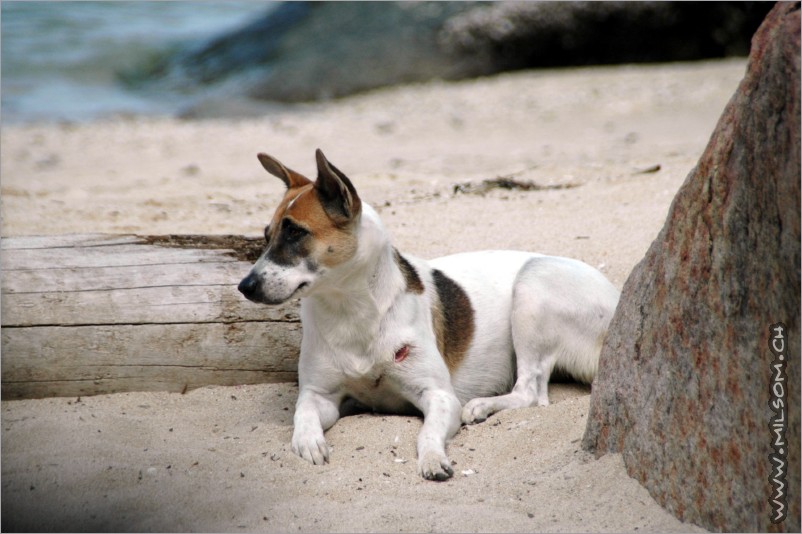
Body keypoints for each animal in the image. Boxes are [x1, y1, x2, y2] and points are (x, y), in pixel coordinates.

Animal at [238, 150, 620, 482]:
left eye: (296, 233)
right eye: (266, 236)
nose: (245, 286)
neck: (352, 310)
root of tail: (615, 296)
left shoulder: (440, 396)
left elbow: (427, 433)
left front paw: (433, 458)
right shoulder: (321, 395)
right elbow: (303, 412)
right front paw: (308, 440)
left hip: (532, 285)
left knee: (531, 392)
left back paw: (482, 406)